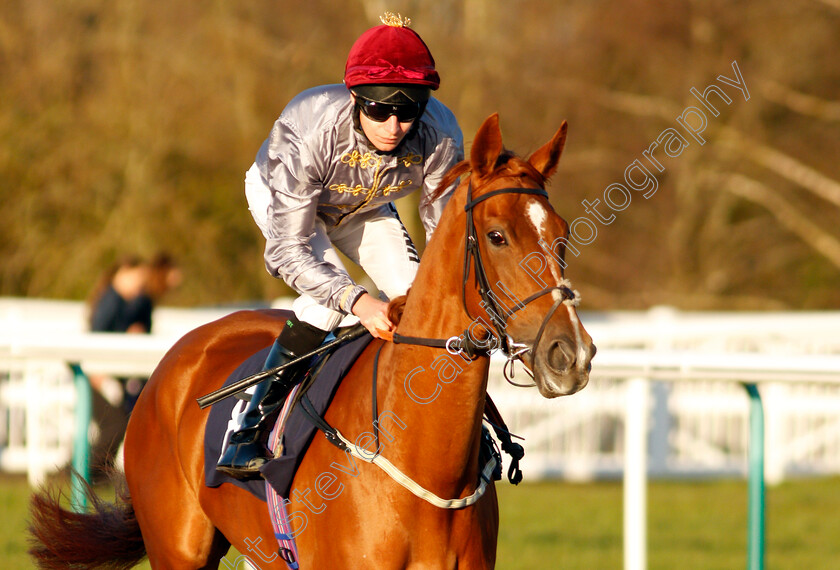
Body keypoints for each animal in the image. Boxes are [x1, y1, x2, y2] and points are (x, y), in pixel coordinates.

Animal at [29, 113, 592, 564]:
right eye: (497, 236)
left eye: (562, 233)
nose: (570, 354)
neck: (426, 465)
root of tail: (177, 357)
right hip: (179, 548)